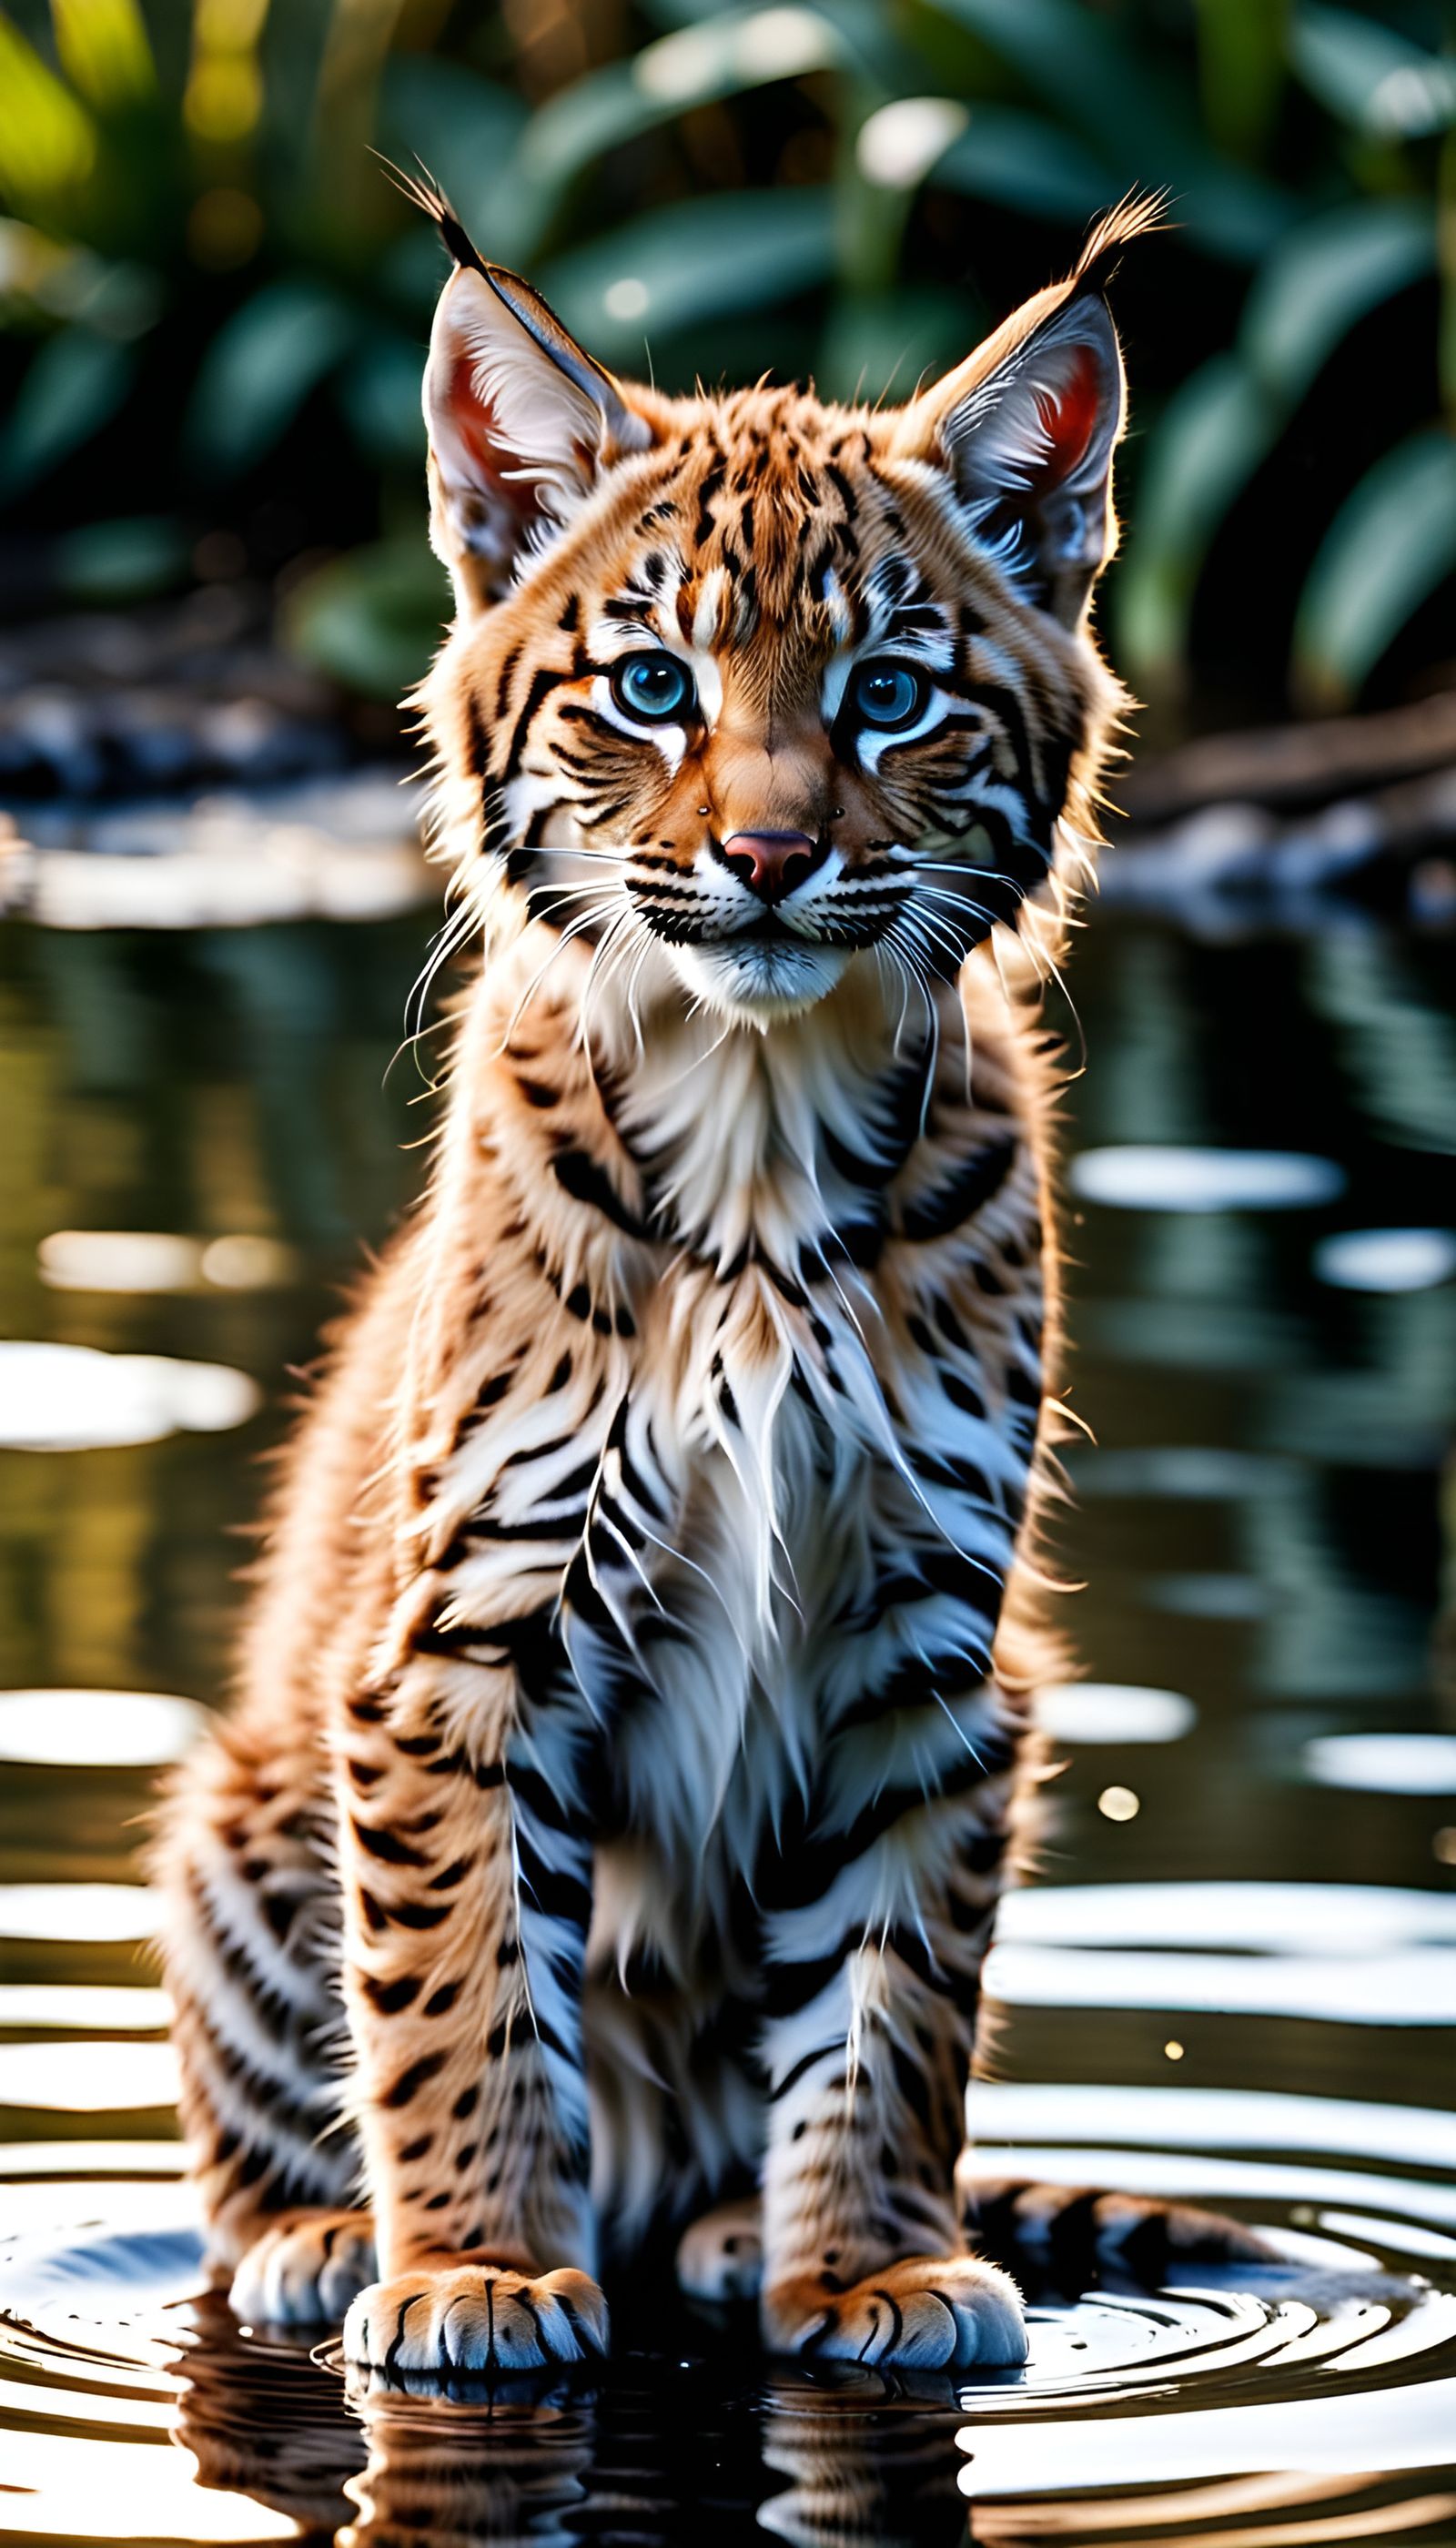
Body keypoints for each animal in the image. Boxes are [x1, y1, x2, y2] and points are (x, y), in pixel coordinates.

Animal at [156, 184, 1260, 2383]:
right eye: (653, 683)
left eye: (891, 694)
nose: (763, 855)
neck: (754, 1115)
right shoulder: (463, 1632)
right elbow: (462, 1987)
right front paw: (478, 2268)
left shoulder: (933, 1637)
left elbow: (896, 1997)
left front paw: (868, 2264)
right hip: (244, 1781)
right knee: (256, 2144)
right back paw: (320, 2237)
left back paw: (733, 2227)